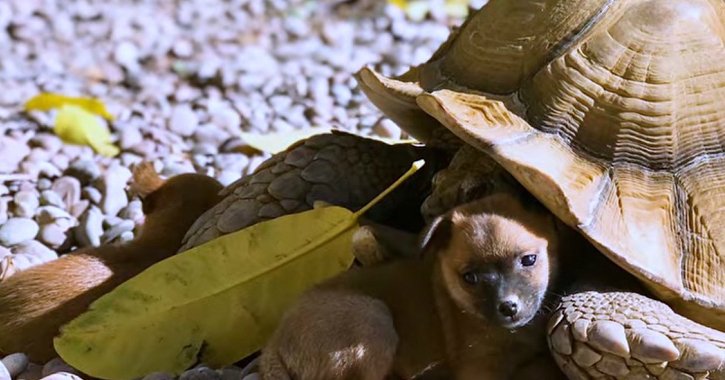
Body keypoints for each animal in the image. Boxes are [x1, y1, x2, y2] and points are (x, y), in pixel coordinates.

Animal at [260, 193, 564, 380]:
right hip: (373, 321)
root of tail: (274, 343)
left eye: (529, 260)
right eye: (469, 278)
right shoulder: (479, 368)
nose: (508, 307)